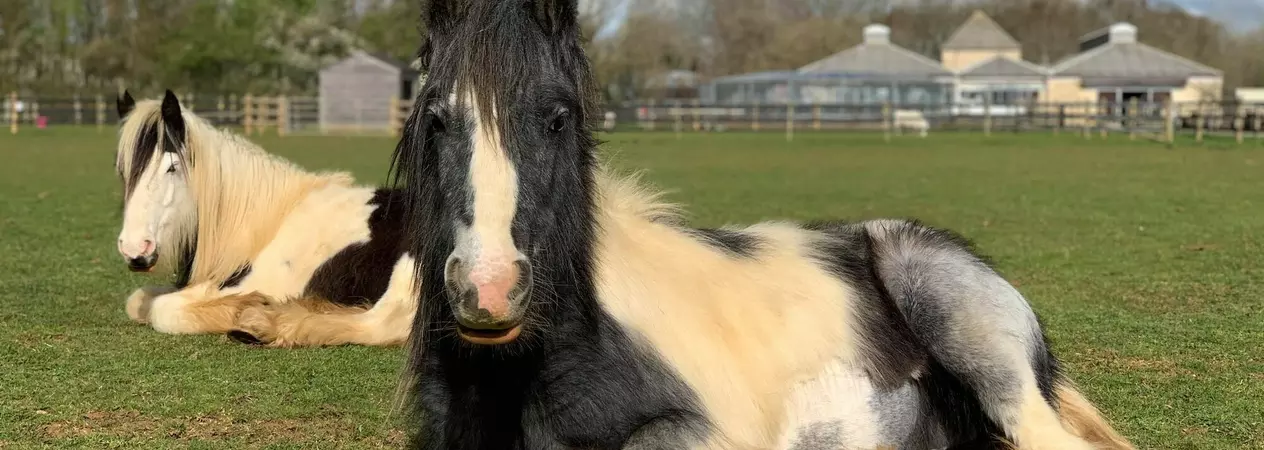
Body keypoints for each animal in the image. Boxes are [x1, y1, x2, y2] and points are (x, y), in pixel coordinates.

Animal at [113, 90, 417, 348]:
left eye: (172, 167)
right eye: (123, 171)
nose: (134, 250)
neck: (266, 225)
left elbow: (162, 309)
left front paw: (246, 305)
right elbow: (138, 300)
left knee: (382, 323)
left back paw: (260, 321)